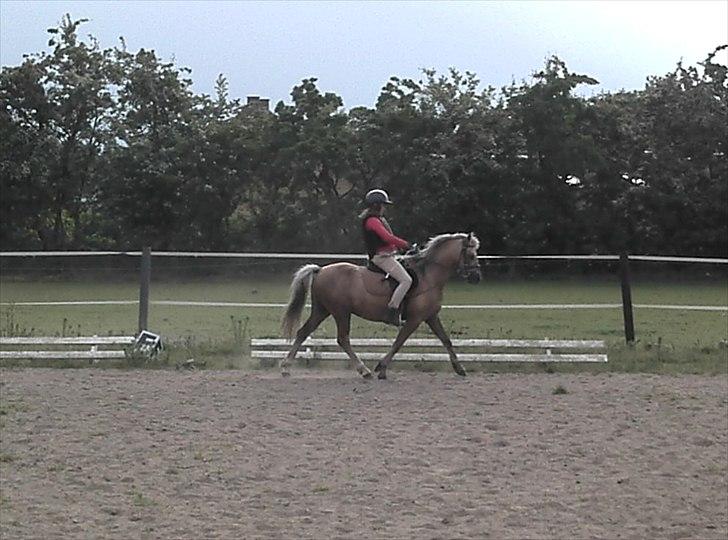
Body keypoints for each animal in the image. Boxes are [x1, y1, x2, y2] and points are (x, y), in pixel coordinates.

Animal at [282, 232, 480, 380]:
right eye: (471, 255)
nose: (476, 277)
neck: (428, 275)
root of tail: (321, 270)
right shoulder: (415, 319)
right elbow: (398, 343)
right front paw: (382, 369)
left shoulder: (430, 316)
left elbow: (446, 340)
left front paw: (460, 369)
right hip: (341, 312)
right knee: (343, 339)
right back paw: (364, 371)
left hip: (322, 310)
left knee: (303, 332)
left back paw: (286, 367)